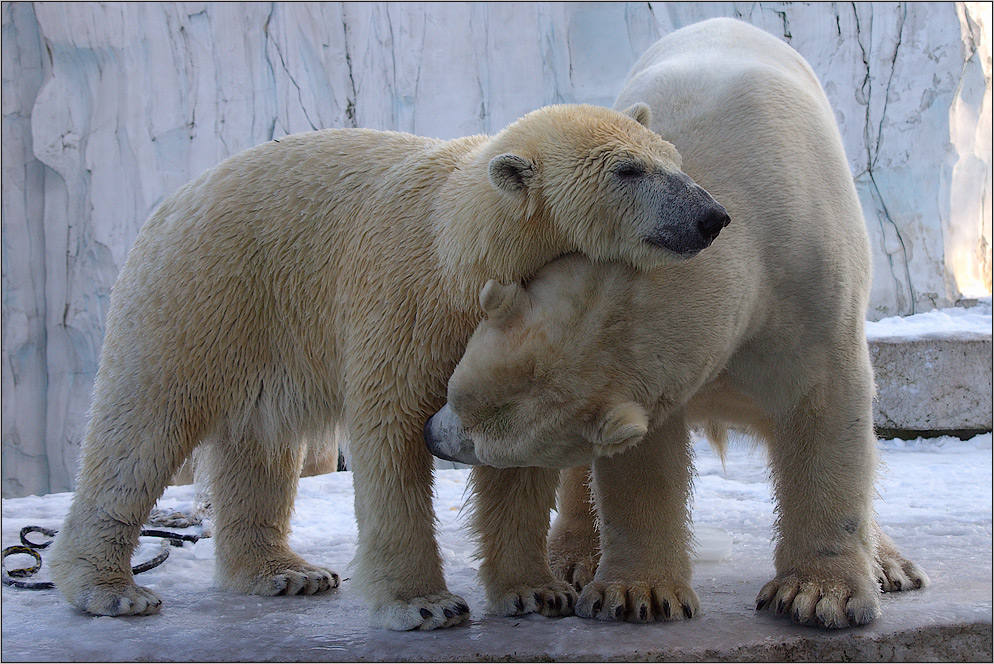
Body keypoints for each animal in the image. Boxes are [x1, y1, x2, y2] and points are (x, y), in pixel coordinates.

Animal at [46, 101, 728, 632]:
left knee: (259, 442)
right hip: (206, 293)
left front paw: (538, 591)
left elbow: (516, 457)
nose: (712, 216)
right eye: (628, 169)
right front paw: (425, 605)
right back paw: (109, 588)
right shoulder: (404, 301)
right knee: (144, 424)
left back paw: (284, 572)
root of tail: (171, 203)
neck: (460, 249)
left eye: (673, 158)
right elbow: (392, 432)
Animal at [422, 18, 928, 632]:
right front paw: (638, 594)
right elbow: (642, 456)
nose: (431, 436)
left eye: (490, 447)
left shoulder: (811, 281)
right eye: (454, 393)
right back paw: (571, 558)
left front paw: (816, 595)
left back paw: (892, 565)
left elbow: (826, 408)